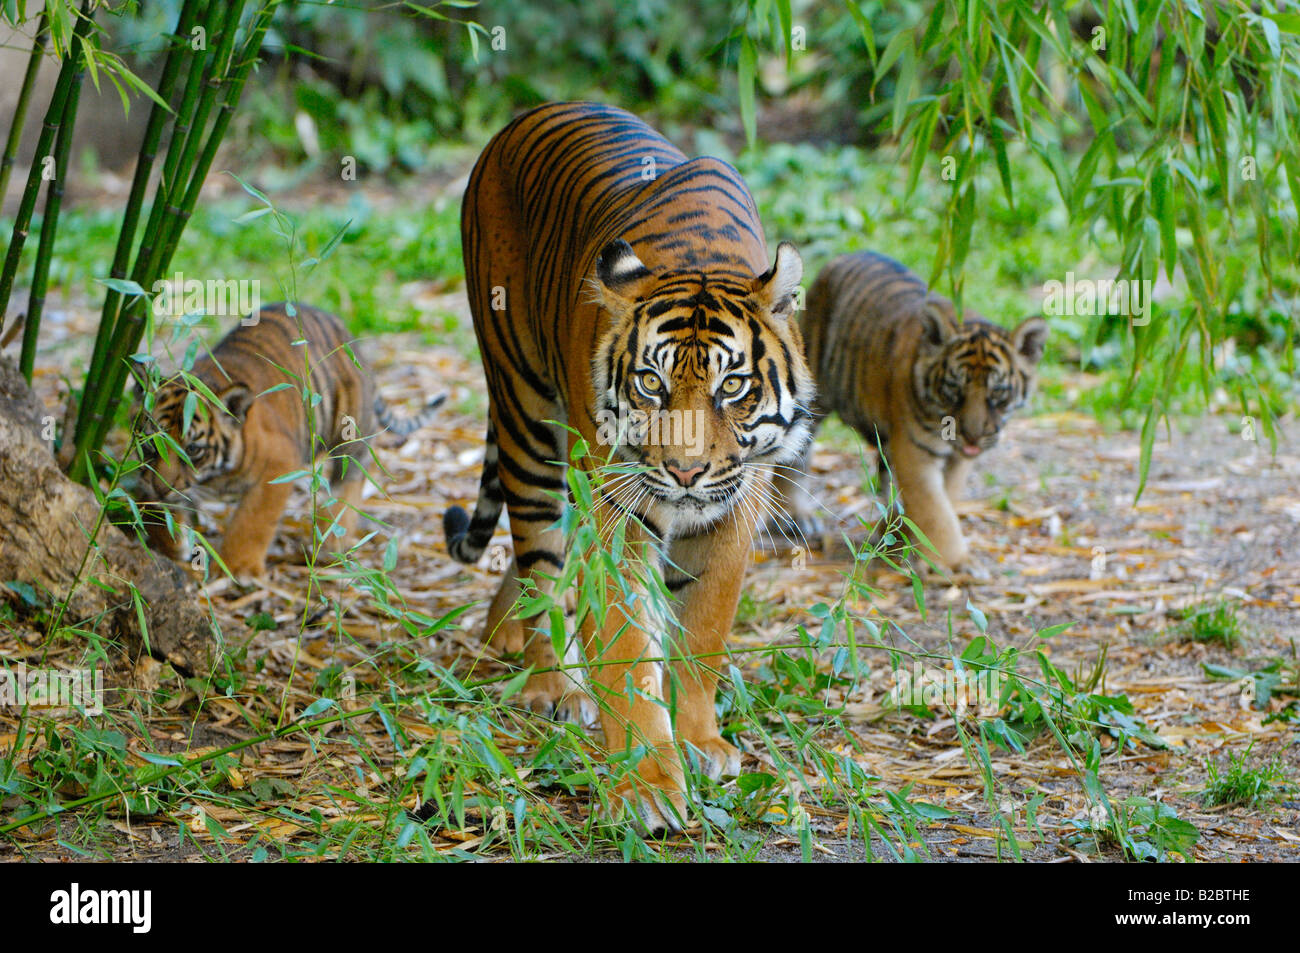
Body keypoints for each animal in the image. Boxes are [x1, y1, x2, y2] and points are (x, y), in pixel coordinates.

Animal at [447, 104, 811, 826]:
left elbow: (703, 629)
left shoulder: (734, 511)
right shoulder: (615, 514)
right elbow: (624, 645)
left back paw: (504, 640)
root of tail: (525, 117)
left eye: (732, 386)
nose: (686, 472)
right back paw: (553, 685)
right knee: (539, 564)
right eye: (651, 383)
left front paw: (701, 743)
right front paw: (645, 783)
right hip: (528, 418)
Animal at [780, 249, 1045, 569]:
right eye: (954, 390)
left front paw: (919, 545)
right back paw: (799, 518)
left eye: (997, 394)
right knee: (793, 460)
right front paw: (950, 564)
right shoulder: (914, 453)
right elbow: (934, 510)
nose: (972, 437)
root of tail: (843, 256)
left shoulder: (956, 459)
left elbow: (946, 500)